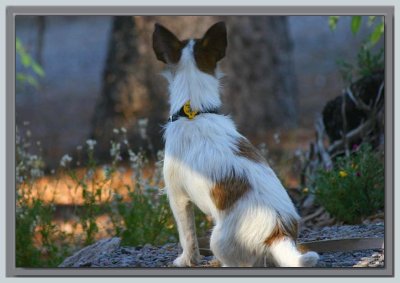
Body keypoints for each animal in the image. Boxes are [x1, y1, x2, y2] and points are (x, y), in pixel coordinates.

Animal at [152, 21, 318, 268]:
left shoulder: (178, 196)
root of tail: (276, 232)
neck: (196, 112)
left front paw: (186, 260)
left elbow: (187, 235)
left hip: (218, 240)